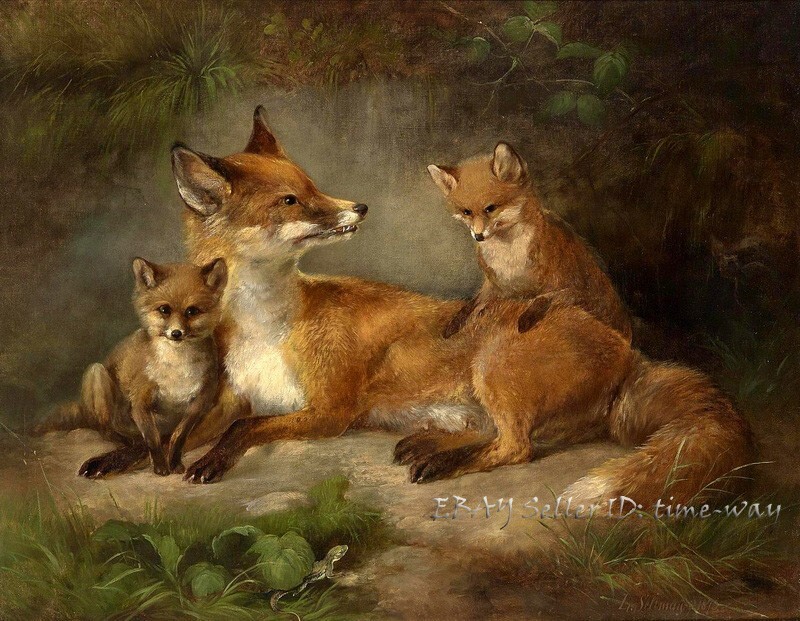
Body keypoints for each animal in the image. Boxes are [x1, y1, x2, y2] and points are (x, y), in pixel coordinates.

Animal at [36, 257, 228, 478]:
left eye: (192, 311)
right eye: (165, 310)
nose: (176, 333)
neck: (177, 369)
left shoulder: (199, 403)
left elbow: (178, 436)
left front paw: (175, 463)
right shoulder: (139, 402)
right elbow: (152, 439)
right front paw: (160, 466)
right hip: (97, 375)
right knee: (106, 429)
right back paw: (127, 443)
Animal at [428, 142, 632, 339]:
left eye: (490, 208)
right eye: (466, 212)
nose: (478, 236)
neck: (509, 259)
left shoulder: (576, 292)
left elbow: (543, 298)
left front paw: (525, 320)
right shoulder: (493, 287)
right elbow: (470, 306)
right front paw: (453, 325)